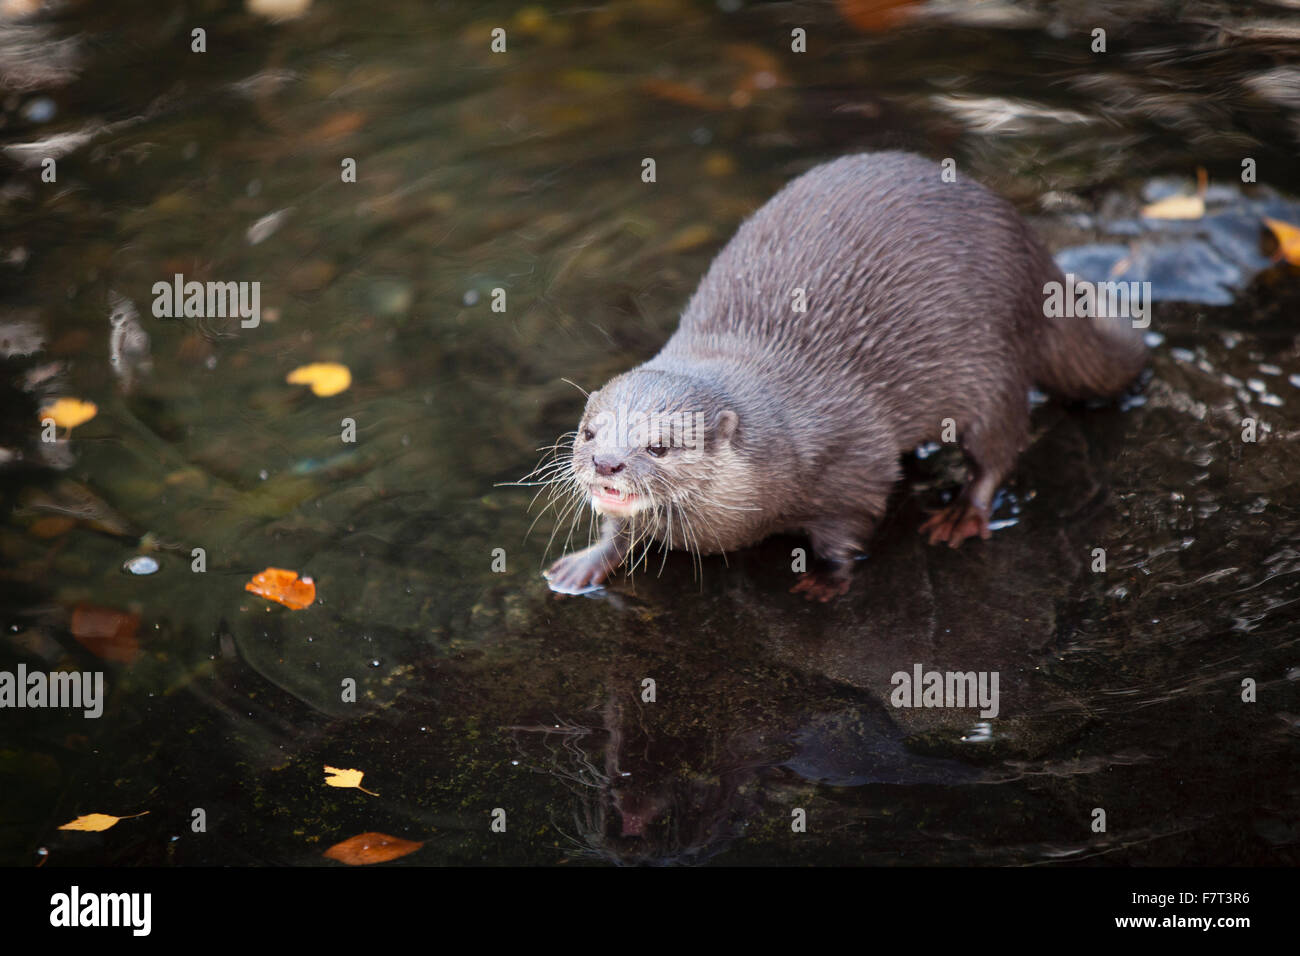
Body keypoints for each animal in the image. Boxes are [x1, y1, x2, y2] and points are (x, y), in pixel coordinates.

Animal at [540, 151, 1146, 600]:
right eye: (589, 432)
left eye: (661, 446)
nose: (606, 462)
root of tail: (1034, 255)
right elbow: (619, 527)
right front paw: (584, 564)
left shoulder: (854, 463)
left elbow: (848, 527)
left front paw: (826, 581)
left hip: (994, 367)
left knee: (998, 450)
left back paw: (961, 516)